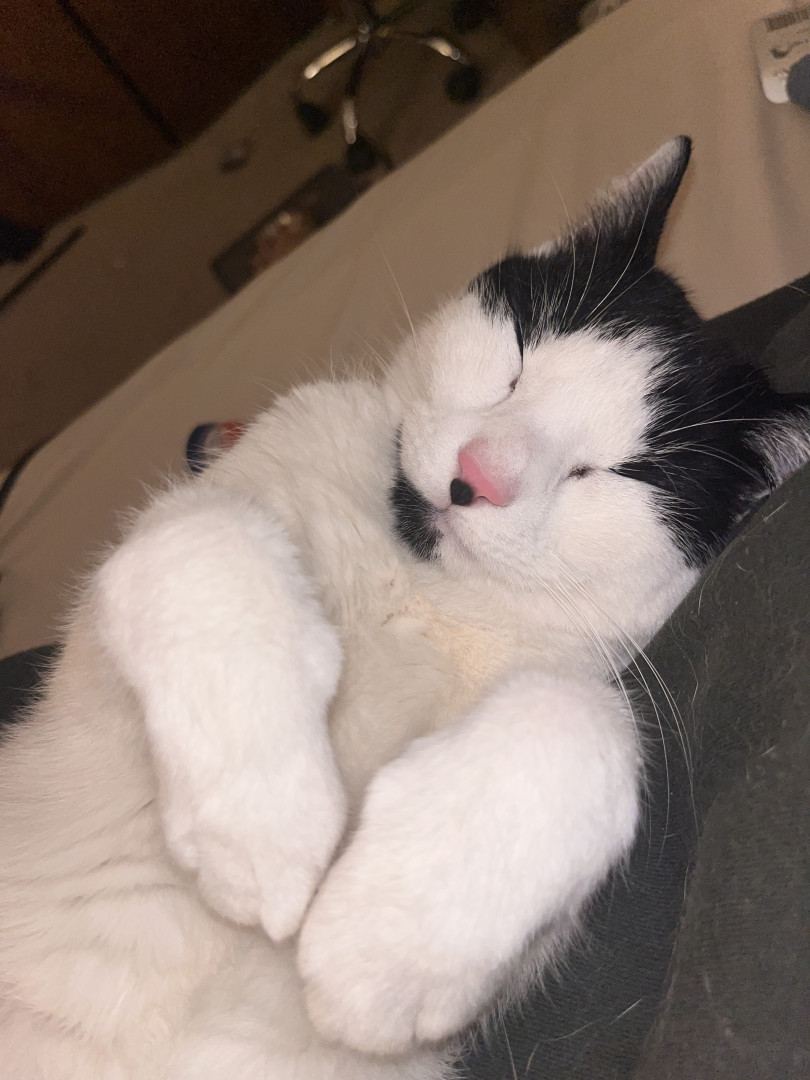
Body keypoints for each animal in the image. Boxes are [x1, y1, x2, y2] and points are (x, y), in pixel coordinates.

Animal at [1, 136, 808, 1080]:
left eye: (619, 474)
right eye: (520, 354)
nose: (476, 475)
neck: (421, 590)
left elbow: (583, 714)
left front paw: (383, 943)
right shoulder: (85, 693)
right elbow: (199, 533)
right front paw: (263, 822)